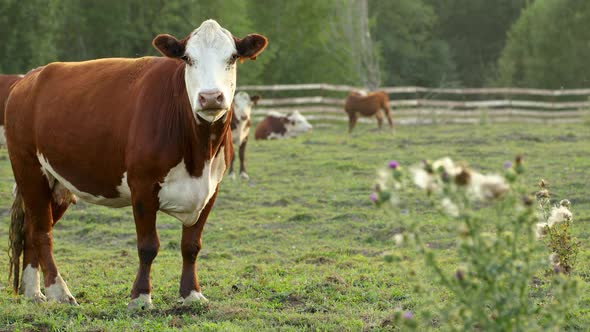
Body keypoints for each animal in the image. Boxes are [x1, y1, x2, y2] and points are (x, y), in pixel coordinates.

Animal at [4, 19, 268, 310]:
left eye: (232, 57)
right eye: (188, 58)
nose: (210, 97)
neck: (199, 155)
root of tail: (29, 78)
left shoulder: (211, 188)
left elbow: (191, 245)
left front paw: (191, 294)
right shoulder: (142, 186)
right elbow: (148, 245)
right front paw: (140, 297)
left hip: (57, 182)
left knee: (31, 229)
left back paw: (33, 291)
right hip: (28, 167)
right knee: (42, 232)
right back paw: (58, 291)